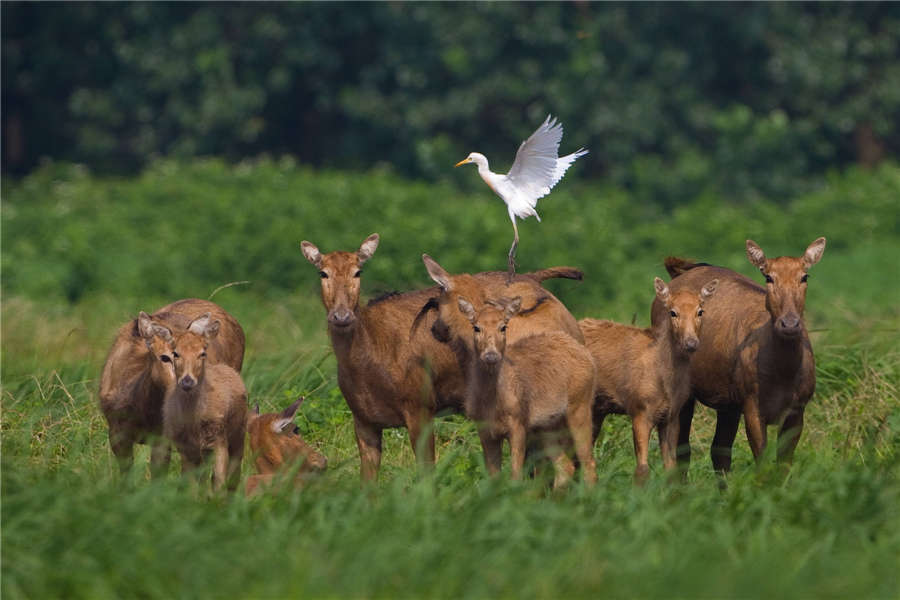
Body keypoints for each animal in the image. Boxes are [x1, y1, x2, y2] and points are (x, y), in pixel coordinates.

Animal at [161, 313, 248, 492]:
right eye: (175, 353)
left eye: (202, 353)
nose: (187, 381)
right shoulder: (185, 446)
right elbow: (191, 485)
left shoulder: (219, 438)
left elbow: (219, 480)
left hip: (239, 432)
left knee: (234, 474)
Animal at [300, 233, 583, 482]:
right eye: (322, 272)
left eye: (358, 271)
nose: (341, 315)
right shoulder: (363, 420)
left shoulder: (421, 407)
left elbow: (427, 474)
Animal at [457, 296, 597, 487]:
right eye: (476, 327)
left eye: (503, 326)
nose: (491, 355)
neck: (493, 403)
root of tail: (586, 354)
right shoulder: (484, 429)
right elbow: (494, 479)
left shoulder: (518, 422)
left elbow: (516, 476)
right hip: (547, 425)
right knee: (565, 466)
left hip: (580, 405)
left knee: (588, 462)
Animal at [580, 277, 718, 484]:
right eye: (672, 312)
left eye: (700, 311)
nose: (691, 343)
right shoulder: (639, 408)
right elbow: (642, 469)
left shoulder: (671, 416)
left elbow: (671, 468)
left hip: (597, 409)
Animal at [651, 237, 826, 478]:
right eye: (768, 276)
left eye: (804, 276)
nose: (789, 323)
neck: (783, 373)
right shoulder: (752, 404)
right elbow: (762, 464)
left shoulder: (798, 408)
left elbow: (783, 467)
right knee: (682, 449)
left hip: (729, 403)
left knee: (719, 450)